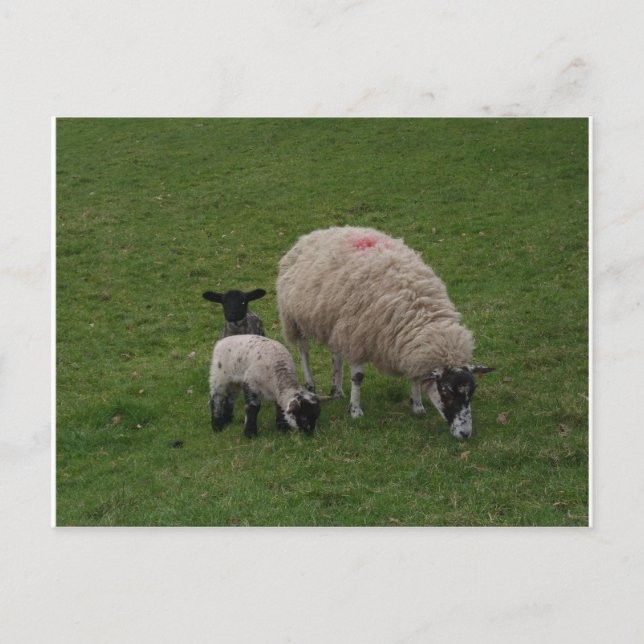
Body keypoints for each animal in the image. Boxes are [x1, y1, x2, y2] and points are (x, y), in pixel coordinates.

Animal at [276, 226, 493, 440]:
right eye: (446, 393)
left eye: (471, 393)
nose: (465, 434)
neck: (419, 312)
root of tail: (315, 234)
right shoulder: (357, 336)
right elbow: (358, 377)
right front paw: (355, 411)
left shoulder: (407, 344)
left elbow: (414, 377)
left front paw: (418, 406)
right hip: (295, 317)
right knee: (304, 351)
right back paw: (310, 384)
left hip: (336, 323)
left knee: (336, 354)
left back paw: (337, 390)